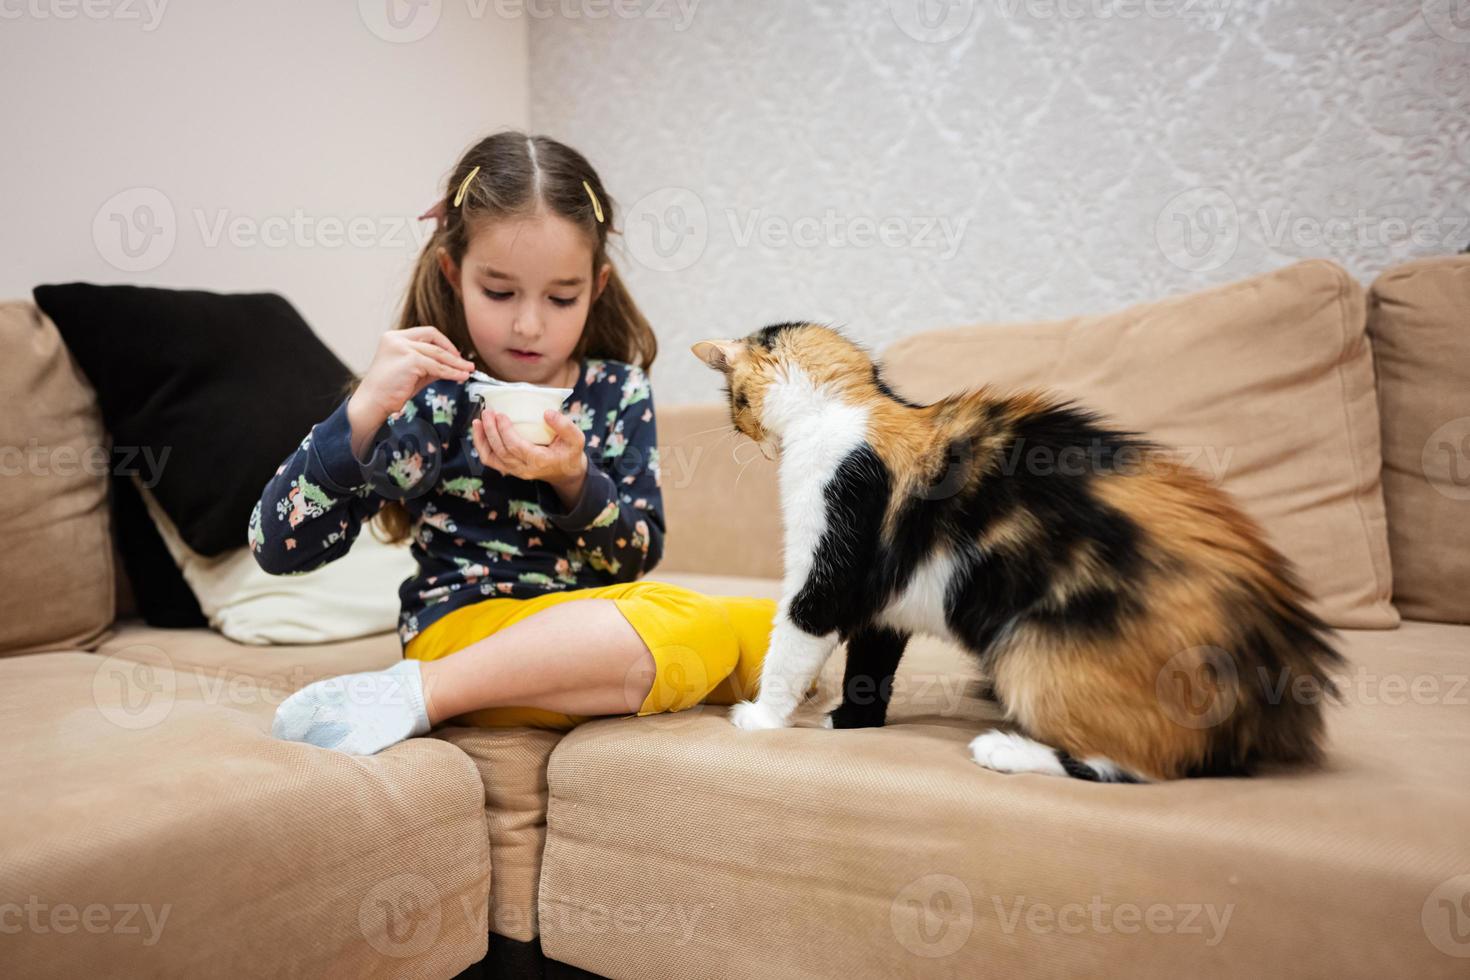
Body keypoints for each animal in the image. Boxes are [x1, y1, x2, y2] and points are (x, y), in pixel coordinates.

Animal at [687, 321, 1346, 781]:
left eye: (733, 404)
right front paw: (851, 721)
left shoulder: (830, 568)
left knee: (1140, 765)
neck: (854, 408)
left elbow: (792, 646)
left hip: (1030, 646)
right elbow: (870, 671)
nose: (745, 433)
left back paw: (1005, 749)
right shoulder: (884, 603)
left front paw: (762, 718)